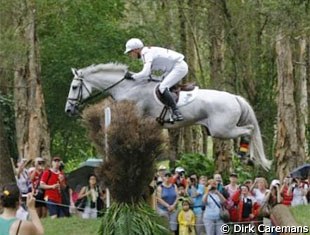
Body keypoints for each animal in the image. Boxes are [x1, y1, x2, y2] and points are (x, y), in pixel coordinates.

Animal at [65, 62, 272, 169]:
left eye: (74, 87)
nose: (68, 110)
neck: (128, 87)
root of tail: (235, 97)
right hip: (219, 130)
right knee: (249, 130)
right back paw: (248, 158)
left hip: (222, 129)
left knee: (249, 130)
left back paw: (246, 156)